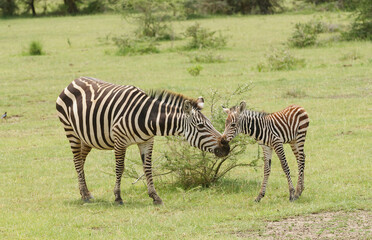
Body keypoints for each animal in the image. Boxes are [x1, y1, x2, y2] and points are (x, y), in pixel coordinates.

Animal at [56, 77, 230, 204]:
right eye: (201, 126)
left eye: (210, 123)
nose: (226, 147)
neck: (147, 119)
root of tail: (75, 80)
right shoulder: (119, 141)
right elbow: (120, 168)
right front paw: (118, 197)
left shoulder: (147, 141)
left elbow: (147, 168)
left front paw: (155, 196)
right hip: (71, 131)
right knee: (77, 161)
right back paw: (85, 197)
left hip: (86, 138)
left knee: (80, 160)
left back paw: (85, 193)